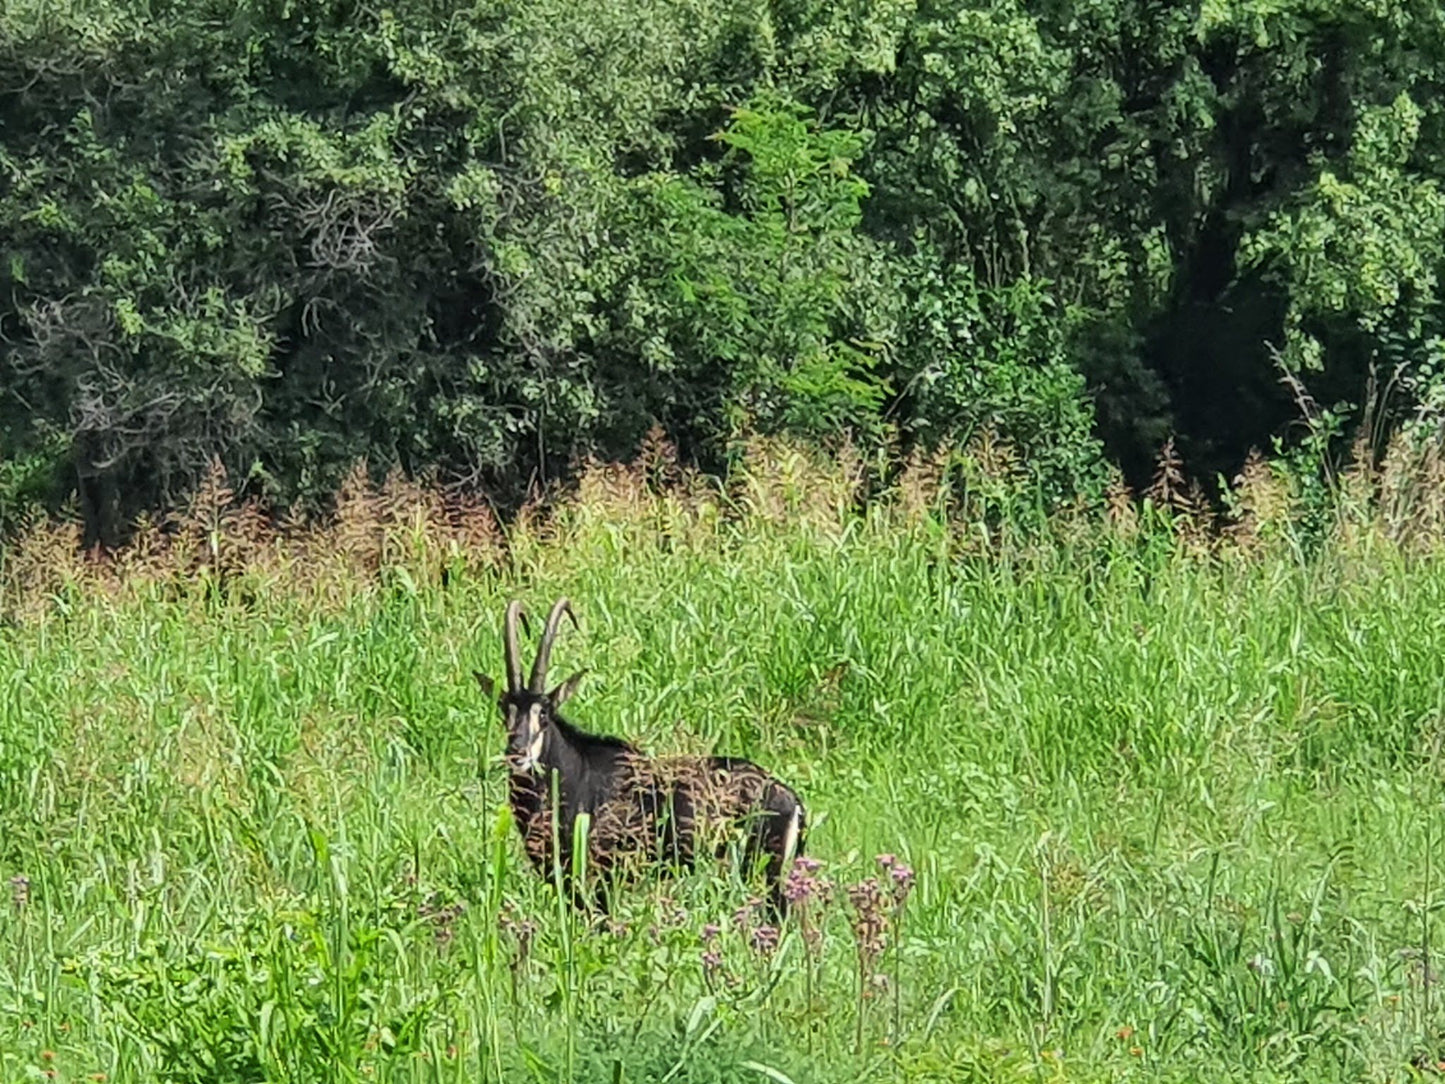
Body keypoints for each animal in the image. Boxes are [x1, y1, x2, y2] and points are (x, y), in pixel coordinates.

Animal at [479, 598, 809, 919]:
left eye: (544, 712)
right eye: (505, 709)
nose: (517, 752)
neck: (574, 774)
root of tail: (791, 799)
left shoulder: (602, 878)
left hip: (762, 872)